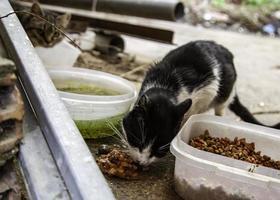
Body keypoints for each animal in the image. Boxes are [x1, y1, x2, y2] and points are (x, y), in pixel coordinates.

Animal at [122, 40, 280, 166]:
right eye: (137, 140)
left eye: (160, 149)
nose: (141, 163)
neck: (167, 86)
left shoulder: (206, 91)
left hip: (224, 95)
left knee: (220, 109)